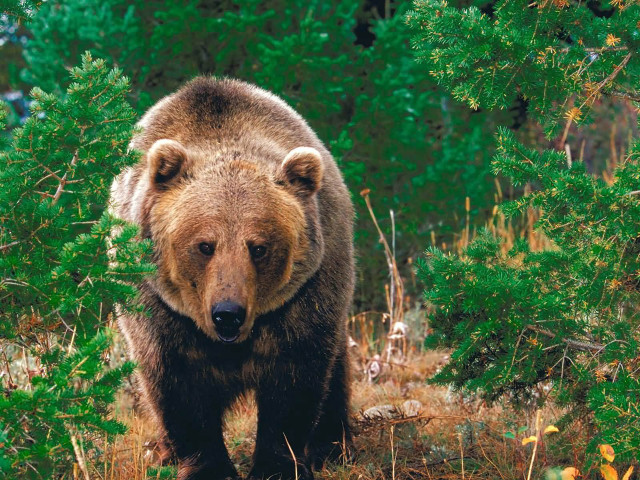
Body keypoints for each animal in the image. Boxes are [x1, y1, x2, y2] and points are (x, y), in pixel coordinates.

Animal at [109, 77, 355, 480]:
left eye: (259, 247)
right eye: (204, 245)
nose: (228, 313)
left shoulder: (304, 298)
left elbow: (294, 380)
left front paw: (276, 464)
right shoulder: (158, 308)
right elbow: (177, 384)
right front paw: (207, 466)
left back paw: (332, 445)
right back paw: (162, 453)